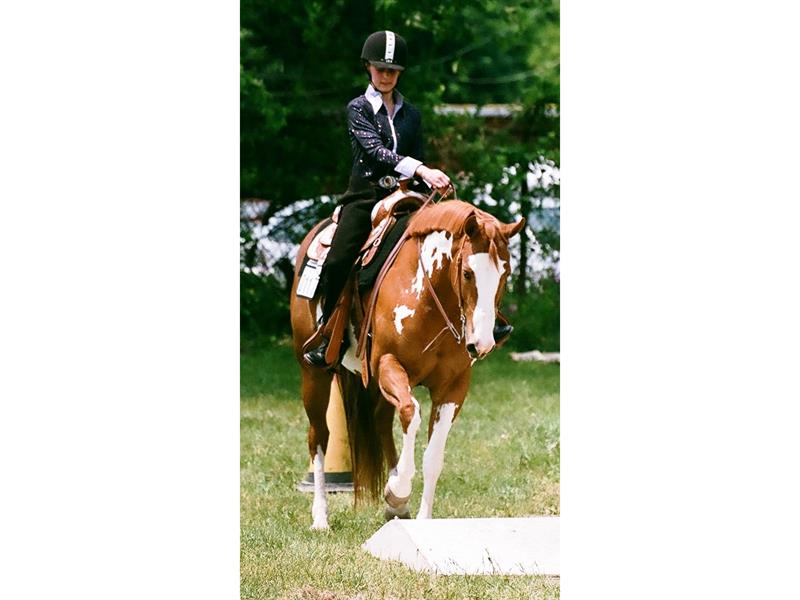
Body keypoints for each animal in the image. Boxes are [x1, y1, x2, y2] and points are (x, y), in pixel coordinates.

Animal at [290, 198, 525, 530]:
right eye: (468, 272)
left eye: (505, 273)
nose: (483, 343)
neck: (428, 295)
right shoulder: (388, 364)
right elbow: (412, 413)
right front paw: (398, 490)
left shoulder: (454, 386)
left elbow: (433, 457)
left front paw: (415, 513)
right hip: (314, 375)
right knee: (319, 437)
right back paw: (321, 517)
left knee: (380, 423)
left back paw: (395, 509)